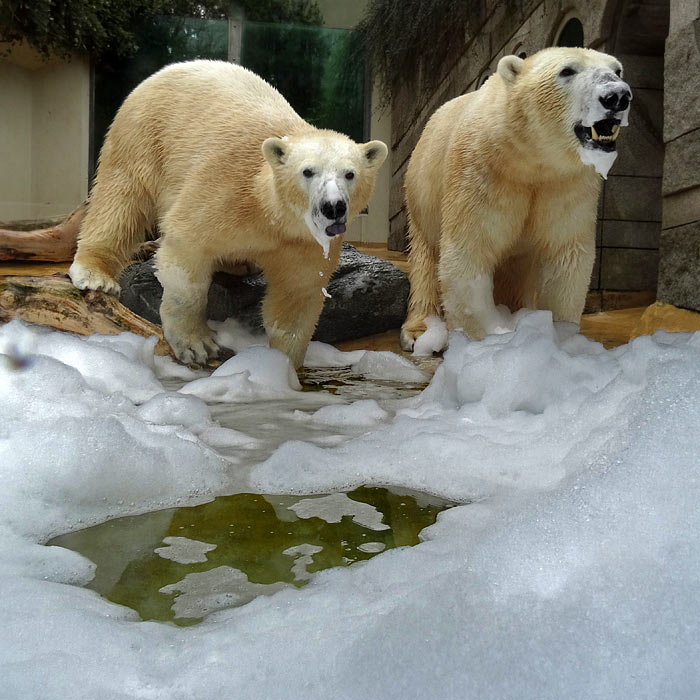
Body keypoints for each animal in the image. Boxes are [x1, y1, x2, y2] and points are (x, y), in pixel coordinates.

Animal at [400, 46, 636, 350]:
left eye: (617, 69)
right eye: (567, 71)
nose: (617, 96)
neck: (528, 159)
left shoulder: (566, 184)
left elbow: (565, 254)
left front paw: (560, 338)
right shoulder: (481, 172)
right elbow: (470, 250)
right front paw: (482, 342)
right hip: (421, 195)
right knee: (426, 260)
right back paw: (420, 331)